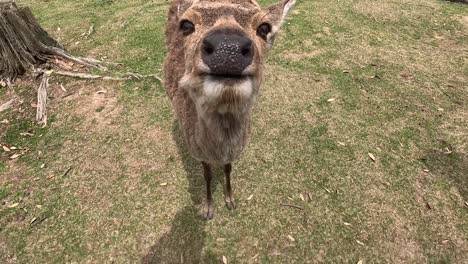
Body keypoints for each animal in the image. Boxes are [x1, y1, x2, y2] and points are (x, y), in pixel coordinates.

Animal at [165, 0, 296, 220]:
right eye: (186, 25)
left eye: (264, 28)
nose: (228, 47)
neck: (217, 150)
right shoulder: (198, 152)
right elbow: (207, 174)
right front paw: (208, 209)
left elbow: (228, 168)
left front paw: (230, 200)